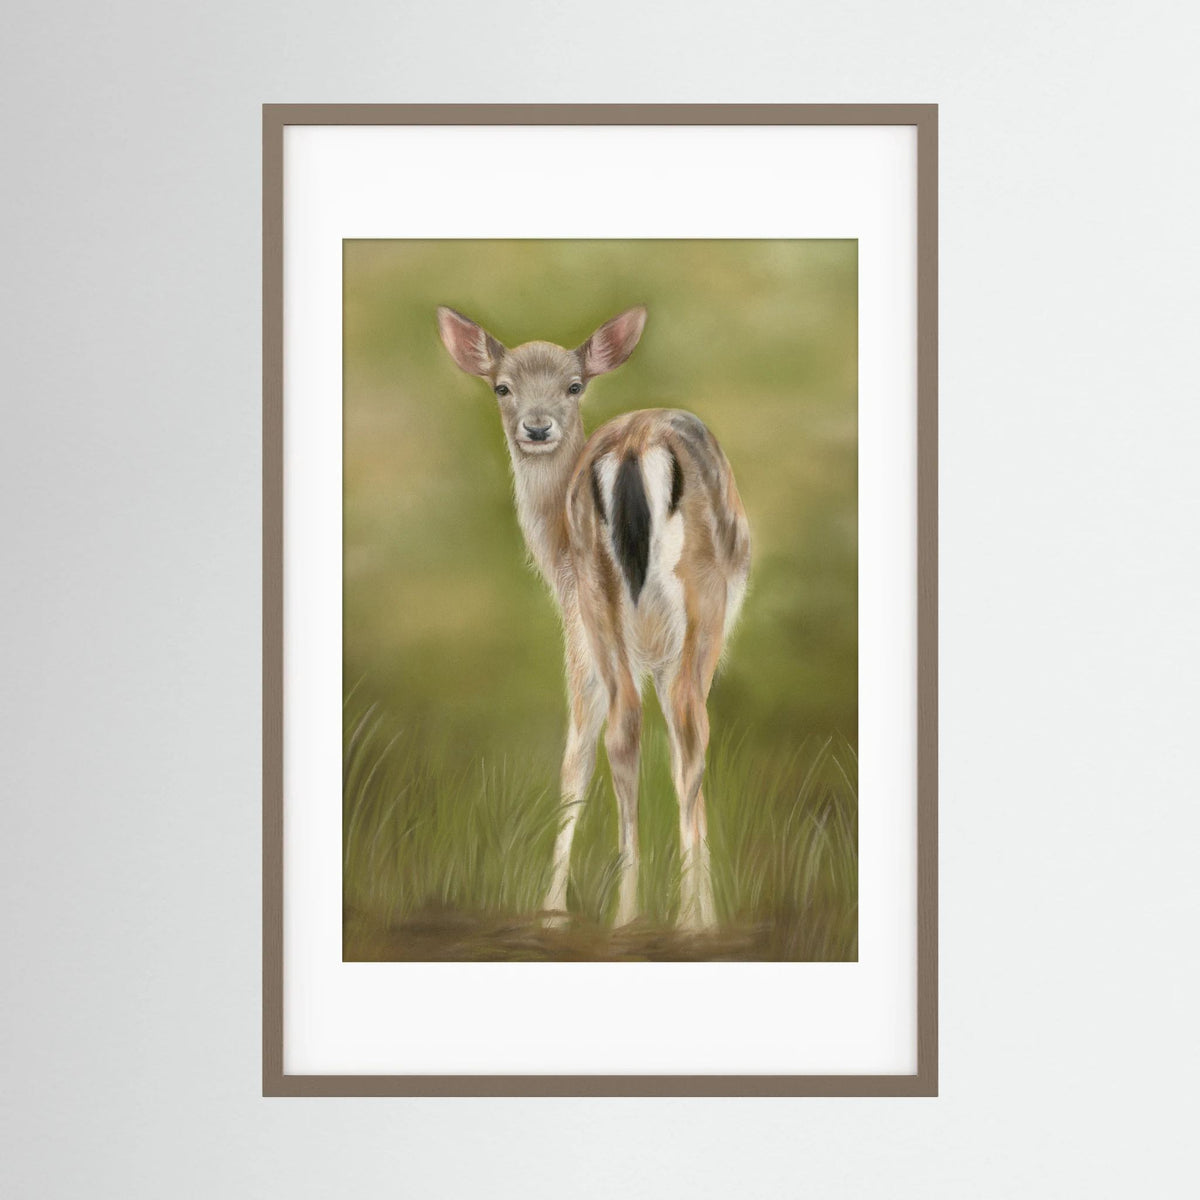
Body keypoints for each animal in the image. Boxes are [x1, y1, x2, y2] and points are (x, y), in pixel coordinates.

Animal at [436, 305, 751, 930]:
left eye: (574, 385)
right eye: (502, 386)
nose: (536, 428)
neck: (552, 552)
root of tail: (633, 448)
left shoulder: (592, 631)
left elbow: (585, 752)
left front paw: (553, 909)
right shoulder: (593, 636)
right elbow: (588, 754)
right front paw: (555, 908)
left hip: (607, 598)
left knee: (637, 727)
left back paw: (635, 914)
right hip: (685, 602)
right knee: (679, 727)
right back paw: (672, 920)